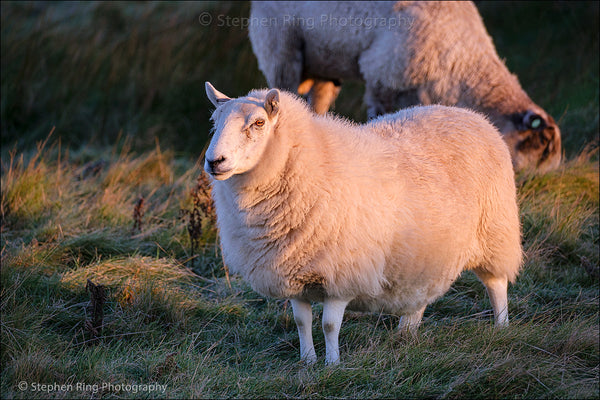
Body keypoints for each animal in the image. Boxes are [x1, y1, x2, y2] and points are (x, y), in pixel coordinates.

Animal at [202, 83, 520, 364]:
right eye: (214, 122)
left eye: (258, 123)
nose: (214, 161)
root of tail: (469, 114)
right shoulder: (291, 273)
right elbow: (301, 322)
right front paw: (307, 361)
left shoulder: (342, 274)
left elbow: (329, 325)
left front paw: (332, 364)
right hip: (425, 254)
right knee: (420, 296)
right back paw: (405, 335)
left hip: (495, 230)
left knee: (496, 284)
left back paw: (501, 327)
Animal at [248, 0, 564, 172]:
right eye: (540, 151)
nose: (527, 185)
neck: (464, 62)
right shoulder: (382, 73)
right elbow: (380, 118)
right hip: (280, 46)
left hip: (326, 61)